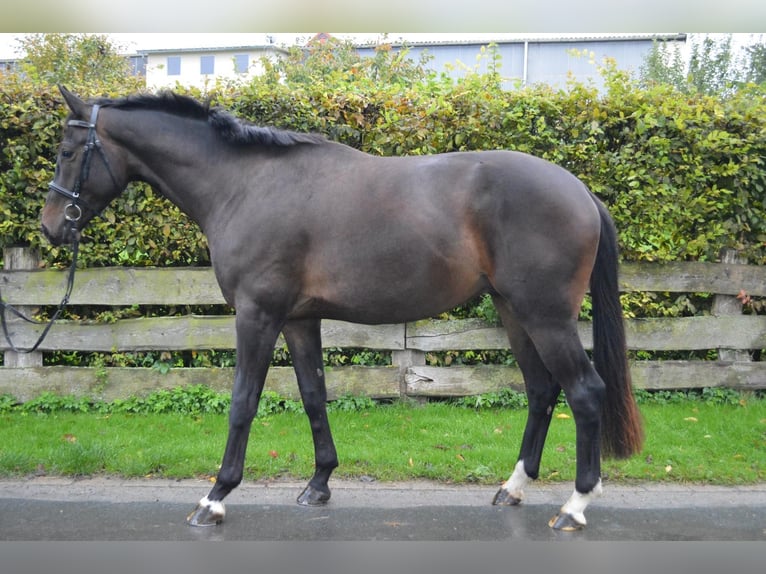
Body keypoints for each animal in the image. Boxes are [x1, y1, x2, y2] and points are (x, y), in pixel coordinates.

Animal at [40, 88, 640, 532]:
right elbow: (313, 395)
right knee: (541, 390)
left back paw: (574, 507)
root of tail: (582, 192)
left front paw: (215, 497)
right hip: (514, 311)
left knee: (584, 391)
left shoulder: (258, 315)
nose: (50, 227)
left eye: (68, 153)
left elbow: (243, 401)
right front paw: (319, 483)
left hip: (546, 317)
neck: (246, 185)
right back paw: (512, 489)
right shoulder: (299, 319)